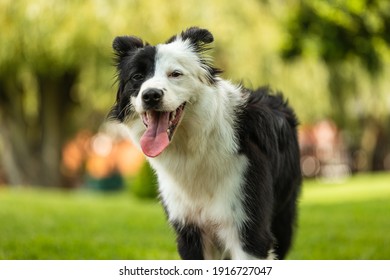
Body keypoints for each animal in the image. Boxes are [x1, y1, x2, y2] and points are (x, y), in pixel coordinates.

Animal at [109, 27, 302, 260]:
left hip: (283, 215)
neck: (194, 149)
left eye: (175, 74)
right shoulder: (189, 230)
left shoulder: (249, 229)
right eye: (137, 77)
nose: (151, 95)